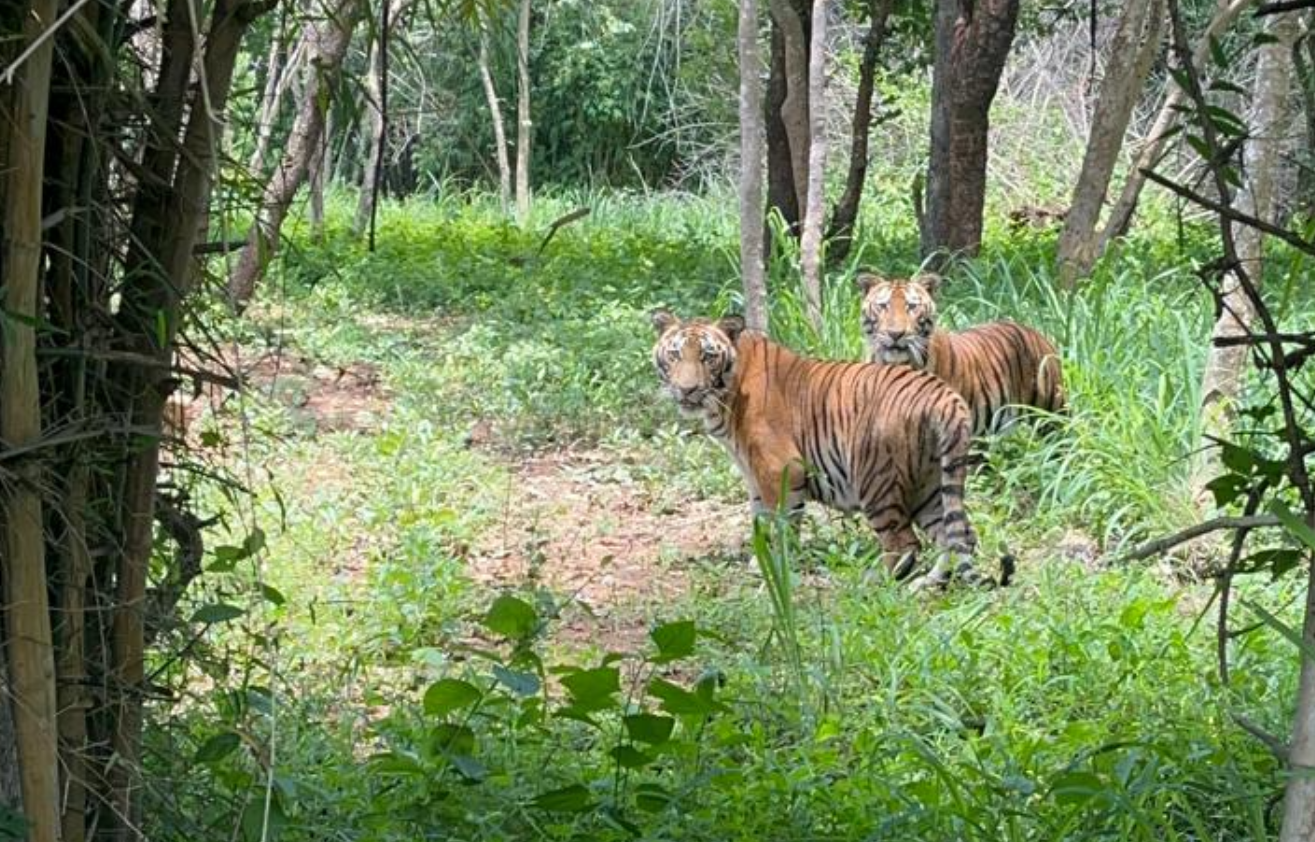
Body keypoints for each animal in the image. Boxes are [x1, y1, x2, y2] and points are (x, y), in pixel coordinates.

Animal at [651, 310, 1013, 590]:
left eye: (708, 356)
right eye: (675, 354)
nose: (687, 389)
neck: (726, 396)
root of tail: (946, 396)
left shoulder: (779, 469)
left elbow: (781, 522)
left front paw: (776, 566)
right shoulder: (755, 475)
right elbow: (761, 519)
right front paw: (761, 561)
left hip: (876, 479)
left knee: (904, 544)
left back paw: (875, 582)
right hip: (931, 484)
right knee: (958, 536)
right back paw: (927, 583)